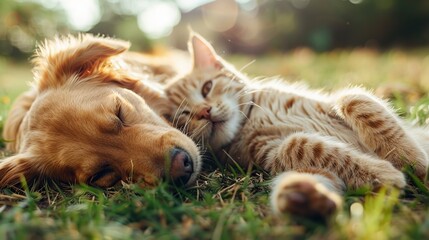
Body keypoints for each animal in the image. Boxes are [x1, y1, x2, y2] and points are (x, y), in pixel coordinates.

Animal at [162, 33, 426, 218]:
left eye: (207, 88)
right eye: (184, 116)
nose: (204, 112)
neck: (253, 118)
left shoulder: (331, 103)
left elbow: (355, 101)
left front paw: (411, 160)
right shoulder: (270, 152)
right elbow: (301, 146)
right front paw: (382, 174)